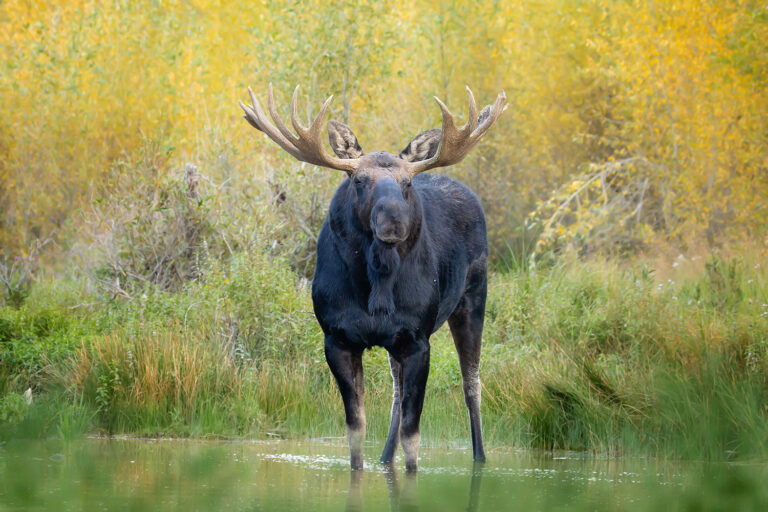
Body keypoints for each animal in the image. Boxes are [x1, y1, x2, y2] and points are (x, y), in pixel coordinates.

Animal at [240, 84, 506, 472]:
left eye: (407, 182)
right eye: (359, 179)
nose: (394, 221)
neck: (376, 286)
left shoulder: (417, 339)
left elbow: (414, 436)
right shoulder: (337, 338)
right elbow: (356, 429)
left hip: (473, 298)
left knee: (472, 385)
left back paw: (480, 458)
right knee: (397, 391)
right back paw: (384, 458)